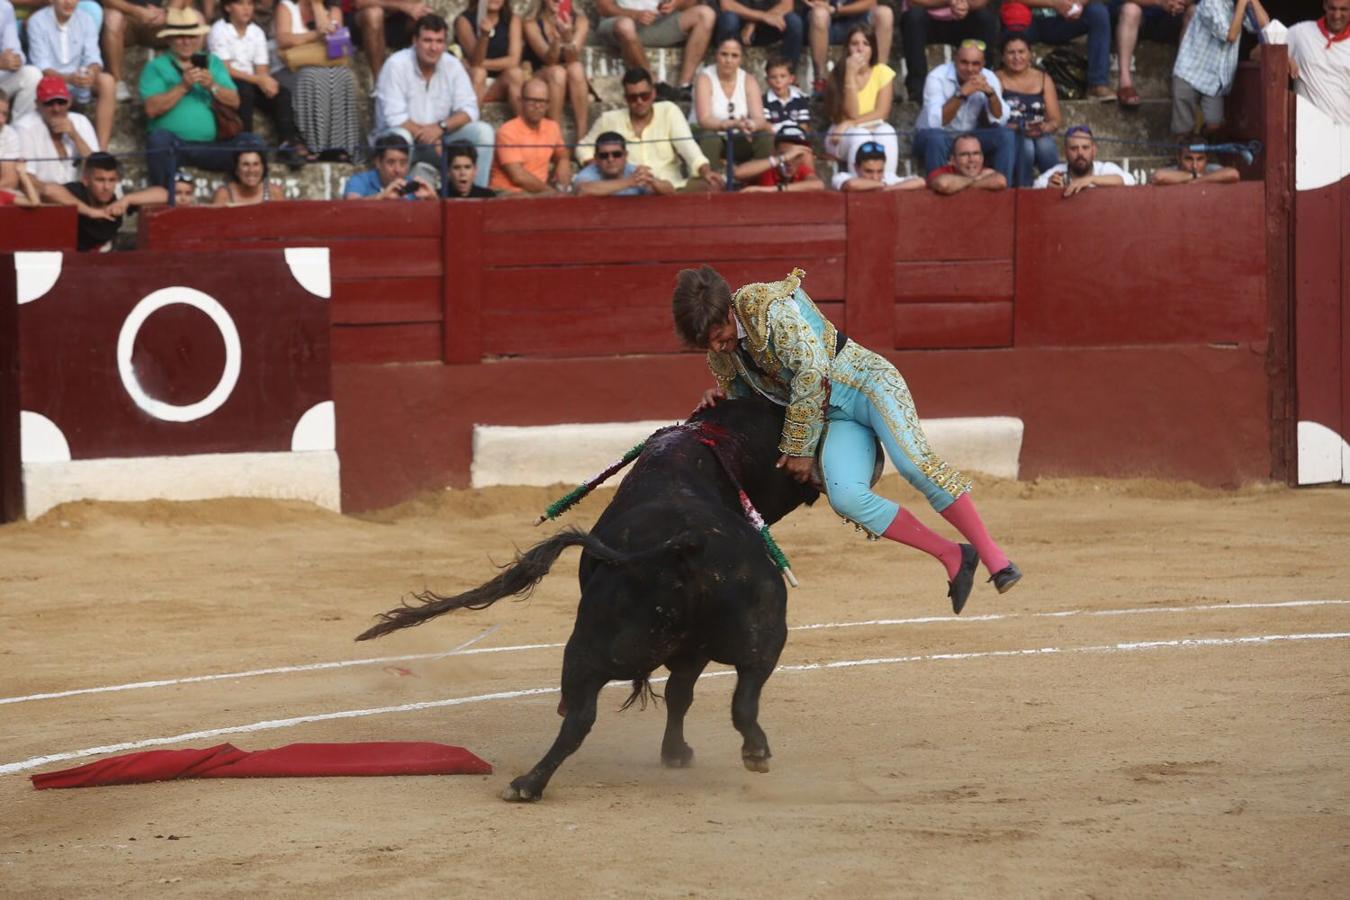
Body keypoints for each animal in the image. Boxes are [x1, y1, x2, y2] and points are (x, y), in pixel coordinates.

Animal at [353, 402, 815, 804]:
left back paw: (528, 784)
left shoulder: (691, 652)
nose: (812, 481)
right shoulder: (693, 653)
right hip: (759, 635)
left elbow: (678, 695)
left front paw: (675, 753)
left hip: (604, 646)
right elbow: (680, 694)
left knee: (582, 716)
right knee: (742, 695)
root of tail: (691, 543)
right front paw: (676, 754)